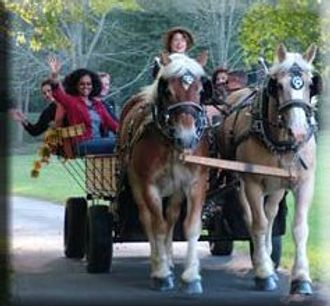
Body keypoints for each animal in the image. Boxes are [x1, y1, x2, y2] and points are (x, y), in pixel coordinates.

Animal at [118, 53, 210, 294]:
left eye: (200, 90)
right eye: (168, 91)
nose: (186, 137)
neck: (170, 143)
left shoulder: (195, 183)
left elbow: (190, 227)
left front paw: (191, 277)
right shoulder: (150, 185)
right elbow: (157, 226)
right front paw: (161, 274)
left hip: (176, 190)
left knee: (172, 217)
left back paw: (167, 258)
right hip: (135, 183)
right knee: (148, 219)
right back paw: (157, 262)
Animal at [218, 44, 320, 296]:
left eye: (309, 83)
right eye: (278, 85)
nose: (299, 131)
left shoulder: (304, 183)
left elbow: (299, 228)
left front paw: (301, 278)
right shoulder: (253, 182)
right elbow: (259, 223)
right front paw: (264, 272)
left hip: (277, 186)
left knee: (271, 213)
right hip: (239, 182)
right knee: (252, 217)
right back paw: (260, 261)